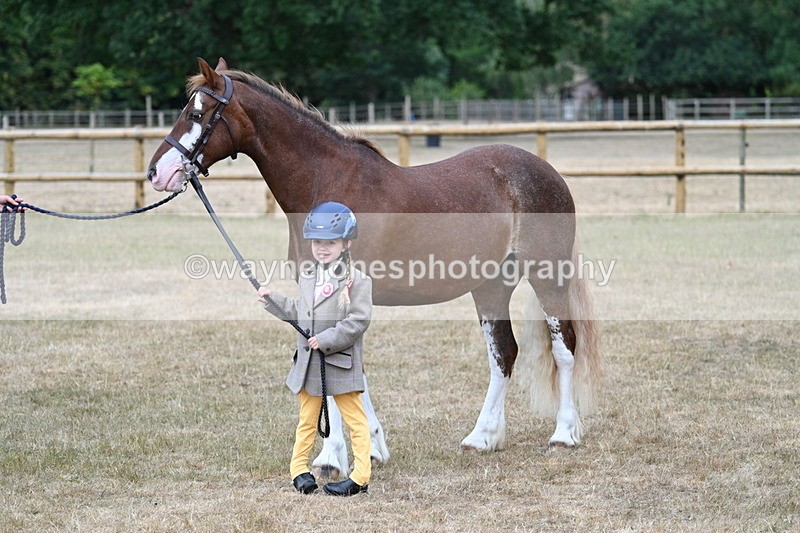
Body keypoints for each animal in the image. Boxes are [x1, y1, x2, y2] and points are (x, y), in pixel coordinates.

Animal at [147, 58, 601, 479]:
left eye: (197, 113)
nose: (157, 172)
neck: (328, 189)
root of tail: (546, 172)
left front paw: (332, 458)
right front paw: (372, 446)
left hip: (547, 277)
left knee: (564, 347)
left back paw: (564, 433)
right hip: (491, 286)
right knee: (504, 353)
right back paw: (483, 437)